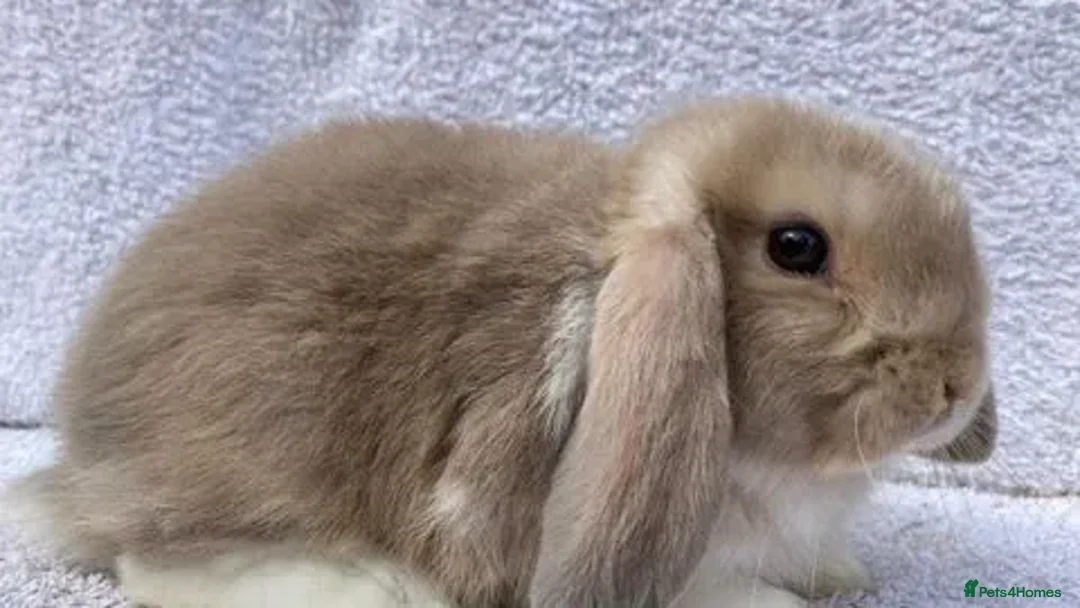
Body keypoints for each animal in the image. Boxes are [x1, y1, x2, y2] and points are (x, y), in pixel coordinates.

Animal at [2, 96, 997, 608]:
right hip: (257, 455)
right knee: (159, 563)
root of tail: (86, 457)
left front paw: (843, 575)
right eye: (797, 247)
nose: (954, 385)